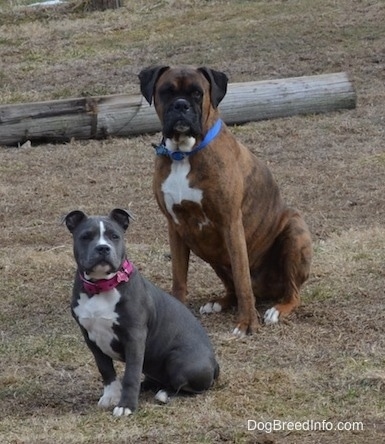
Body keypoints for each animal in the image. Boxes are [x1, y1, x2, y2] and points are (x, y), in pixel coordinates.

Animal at [64, 208, 218, 416]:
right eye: (86, 236)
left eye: (114, 236)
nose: (103, 248)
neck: (102, 286)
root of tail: (215, 364)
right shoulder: (91, 338)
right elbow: (105, 369)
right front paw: (111, 396)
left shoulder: (134, 337)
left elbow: (131, 374)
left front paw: (125, 406)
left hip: (180, 360)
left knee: (186, 387)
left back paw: (164, 394)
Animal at [138, 66, 312, 336]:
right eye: (166, 92)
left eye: (197, 93)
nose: (181, 105)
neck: (183, 154)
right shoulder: (175, 227)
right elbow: (179, 277)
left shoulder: (231, 224)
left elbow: (242, 279)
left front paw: (247, 323)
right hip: (210, 252)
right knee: (232, 287)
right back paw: (219, 302)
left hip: (294, 232)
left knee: (290, 292)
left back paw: (277, 309)